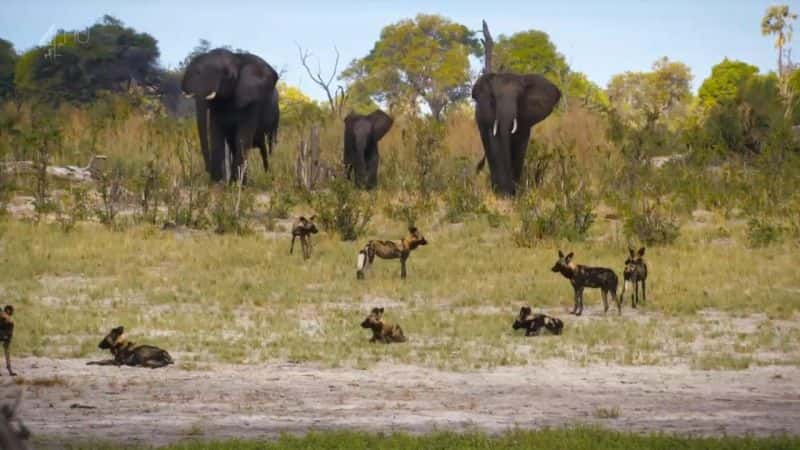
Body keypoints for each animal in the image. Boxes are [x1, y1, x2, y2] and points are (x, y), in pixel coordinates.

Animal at [180, 48, 280, 184]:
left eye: (227, 74)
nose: (208, 170)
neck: (237, 58)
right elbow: (216, 137)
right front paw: (218, 184)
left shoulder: (253, 102)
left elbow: (242, 138)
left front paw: (233, 185)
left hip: (275, 118)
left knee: (268, 147)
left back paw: (268, 177)